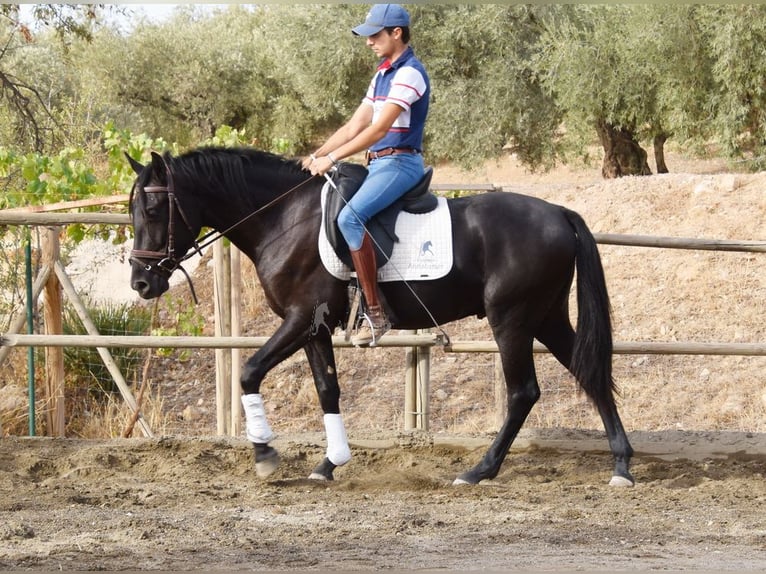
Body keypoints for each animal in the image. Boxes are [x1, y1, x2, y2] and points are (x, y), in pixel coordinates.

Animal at [129, 148, 640, 490]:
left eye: (153, 209)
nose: (140, 282)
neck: (284, 218)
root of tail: (558, 213)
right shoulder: (313, 329)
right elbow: (327, 389)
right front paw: (330, 462)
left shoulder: (299, 319)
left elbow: (250, 372)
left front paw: (265, 454)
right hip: (546, 317)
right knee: (590, 373)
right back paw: (621, 466)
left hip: (512, 320)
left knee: (523, 392)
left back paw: (480, 471)